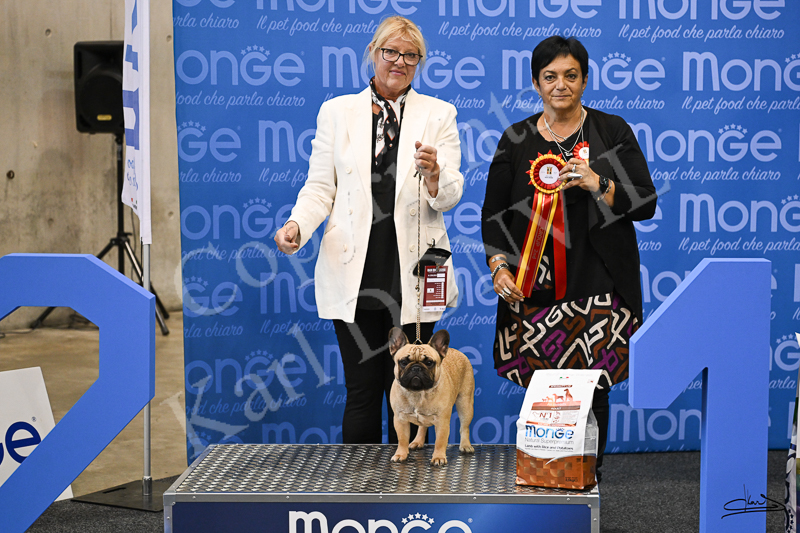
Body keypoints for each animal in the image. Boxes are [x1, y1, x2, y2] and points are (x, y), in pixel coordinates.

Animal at [388, 327, 475, 466]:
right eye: (403, 362)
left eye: (429, 363)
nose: (416, 368)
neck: (418, 392)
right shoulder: (400, 419)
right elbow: (402, 439)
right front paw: (401, 454)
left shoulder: (442, 421)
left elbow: (440, 441)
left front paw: (438, 457)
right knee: (422, 426)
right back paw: (417, 441)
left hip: (465, 404)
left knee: (464, 427)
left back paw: (466, 445)